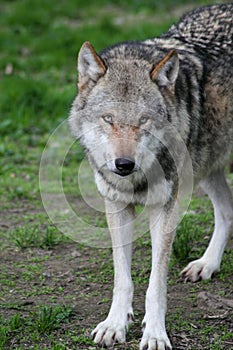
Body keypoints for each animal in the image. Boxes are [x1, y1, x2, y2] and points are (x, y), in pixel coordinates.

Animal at [69, 3, 233, 350]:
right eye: (108, 119)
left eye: (144, 121)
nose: (123, 164)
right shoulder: (117, 205)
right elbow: (123, 279)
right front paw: (115, 324)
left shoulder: (166, 209)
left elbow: (155, 284)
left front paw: (155, 333)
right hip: (207, 167)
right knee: (227, 210)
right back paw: (207, 265)